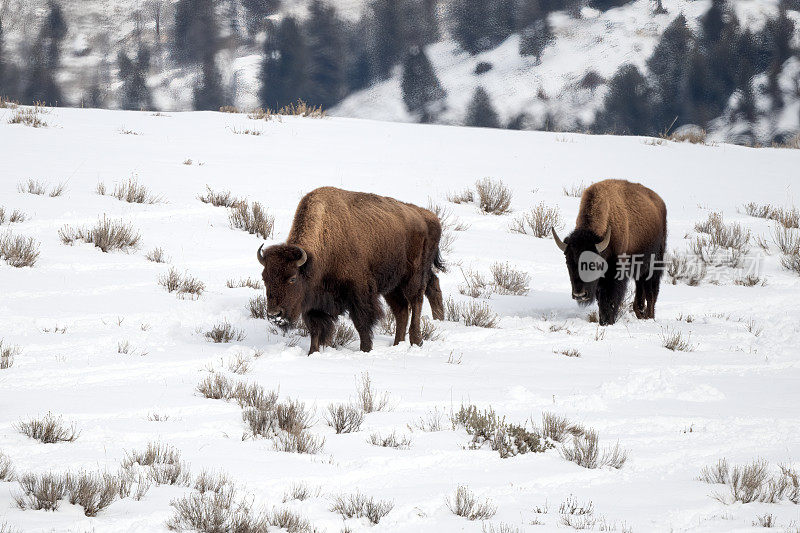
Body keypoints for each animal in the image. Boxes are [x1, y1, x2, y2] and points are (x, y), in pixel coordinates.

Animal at [256, 186, 444, 354]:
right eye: (264, 278)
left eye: (292, 278)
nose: (274, 314)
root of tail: (429, 217)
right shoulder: (315, 301)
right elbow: (316, 329)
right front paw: (312, 353)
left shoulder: (359, 293)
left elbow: (362, 323)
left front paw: (366, 350)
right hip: (392, 285)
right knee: (402, 310)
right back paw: (398, 344)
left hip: (413, 276)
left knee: (416, 301)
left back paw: (416, 341)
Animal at [552, 179, 668, 324]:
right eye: (568, 262)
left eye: (592, 264)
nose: (580, 294)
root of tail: (659, 202)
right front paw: (603, 320)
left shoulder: (616, 272)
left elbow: (610, 298)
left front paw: (608, 321)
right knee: (640, 286)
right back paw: (640, 312)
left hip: (654, 263)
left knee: (651, 291)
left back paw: (649, 316)